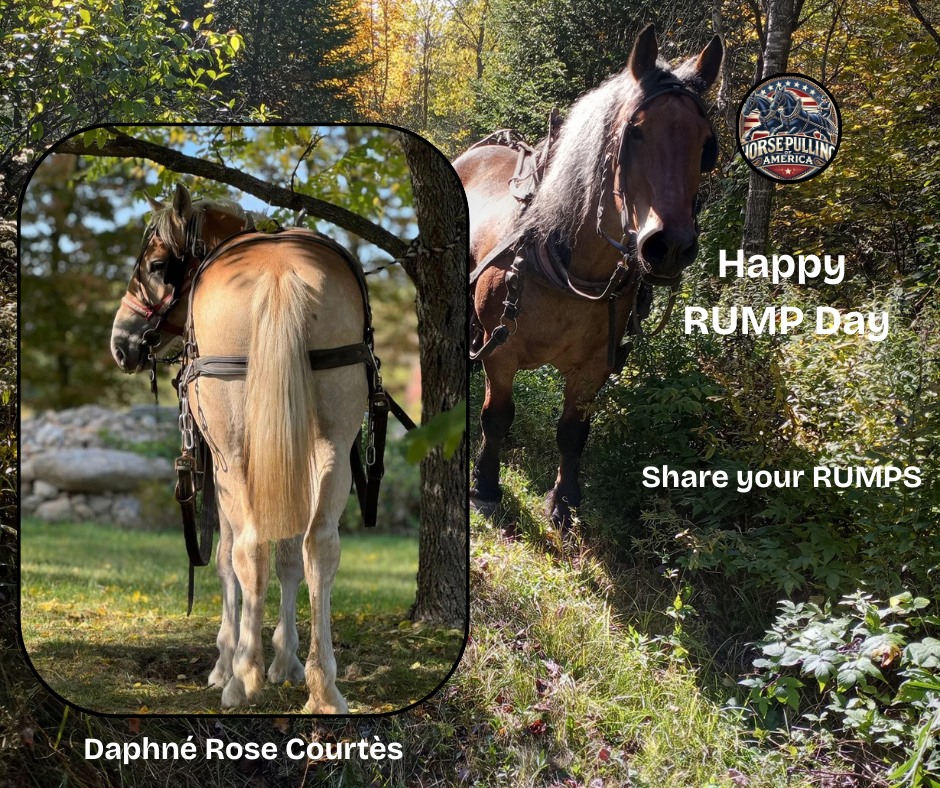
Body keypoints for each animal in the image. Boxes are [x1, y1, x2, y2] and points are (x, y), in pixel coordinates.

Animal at [109, 183, 369, 712]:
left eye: (156, 265)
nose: (121, 343)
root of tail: (279, 274)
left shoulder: (223, 463)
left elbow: (227, 557)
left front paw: (227, 660)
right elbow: (289, 555)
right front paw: (286, 662)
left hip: (232, 453)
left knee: (247, 548)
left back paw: (242, 677)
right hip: (331, 443)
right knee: (319, 546)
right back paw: (324, 687)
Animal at [456, 25, 722, 528]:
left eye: (705, 144)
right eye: (634, 133)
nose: (670, 246)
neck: (567, 263)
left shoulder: (594, 366)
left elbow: (572, 431)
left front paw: (564, 501)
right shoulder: (501, 352)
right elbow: (496, 416)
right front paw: (485, 486)